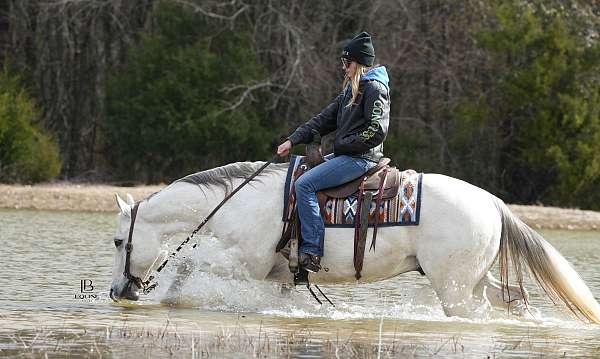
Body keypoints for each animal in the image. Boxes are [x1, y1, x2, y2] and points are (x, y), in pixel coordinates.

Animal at [110, 162, 600, 324]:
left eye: (117, 241)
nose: (117, 291)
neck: (237, 201)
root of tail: (494, 204)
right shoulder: (278, 276)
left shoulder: (245, 264)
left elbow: (186, 274)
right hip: (475, 280)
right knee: (514, 298)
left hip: (456, 289)